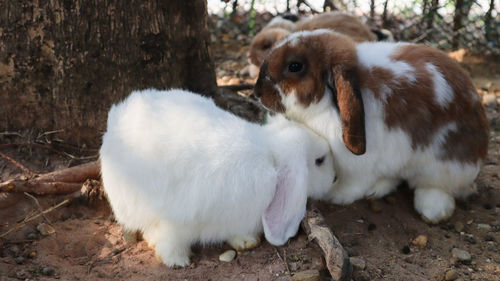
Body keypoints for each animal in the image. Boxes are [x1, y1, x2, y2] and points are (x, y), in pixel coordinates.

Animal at [100, 88, 336, 266]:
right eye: (320, 160)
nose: (334, 178)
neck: (271, 159)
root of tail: (117, 120)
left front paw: (246, 241)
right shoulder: (179, 218)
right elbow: (171, 240)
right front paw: (177, 261)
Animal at [254, 30, 488, 223]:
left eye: (295, 66)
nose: (257, 91)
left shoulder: (356, 166)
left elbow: (352, 184)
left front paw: (335, 195)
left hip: (445, 165)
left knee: (438, 186)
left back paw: (432, 210)